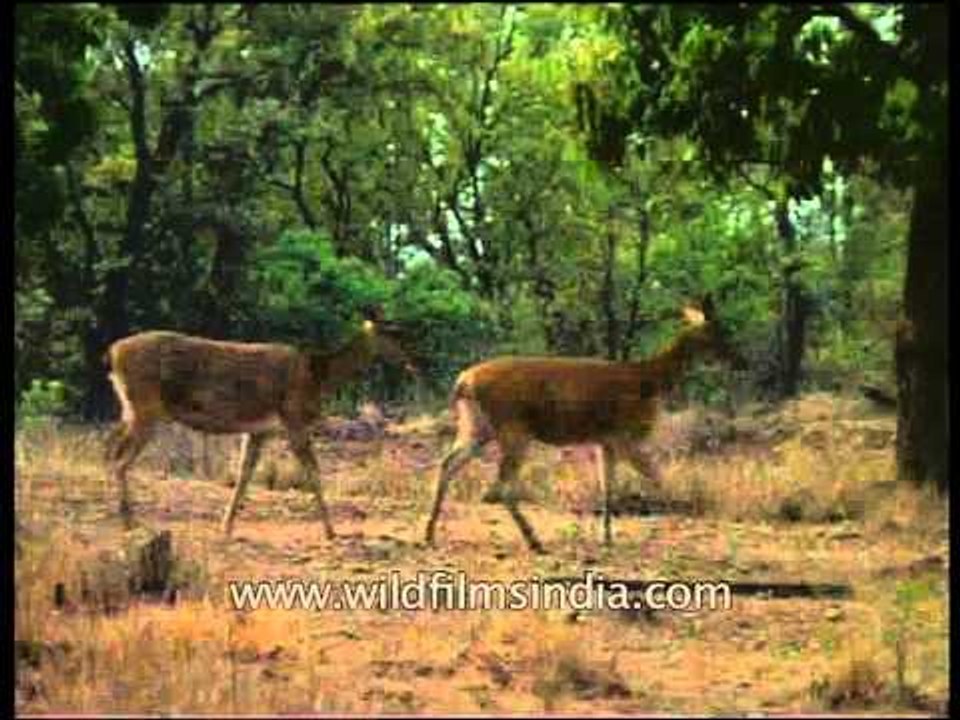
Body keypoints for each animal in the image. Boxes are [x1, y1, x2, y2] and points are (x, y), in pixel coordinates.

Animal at [104, 309, 413, 538]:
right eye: (392, 332)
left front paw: (226, 526)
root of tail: (113, 352)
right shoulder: (293, 417)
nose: (413, 361)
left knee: (109, 447)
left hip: (130, 408)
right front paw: (331, 531)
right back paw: (128, 521)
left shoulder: (258, 430)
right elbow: (313, 473)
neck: (317, 377)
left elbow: (244, 474)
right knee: (120, 459)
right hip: (145, 407)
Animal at [424, 297, 736, 554]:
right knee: (500, 485)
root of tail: (464, 382)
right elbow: (657, 478)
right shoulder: (625, 435)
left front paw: (606, 538)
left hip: (477, 426)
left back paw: (429, 534)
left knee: (448, 463)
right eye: (720, 333)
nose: (739, 360)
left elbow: (608, 487)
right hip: (513, 427)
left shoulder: (605, 440)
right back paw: (534, 541)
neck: (650, 381)